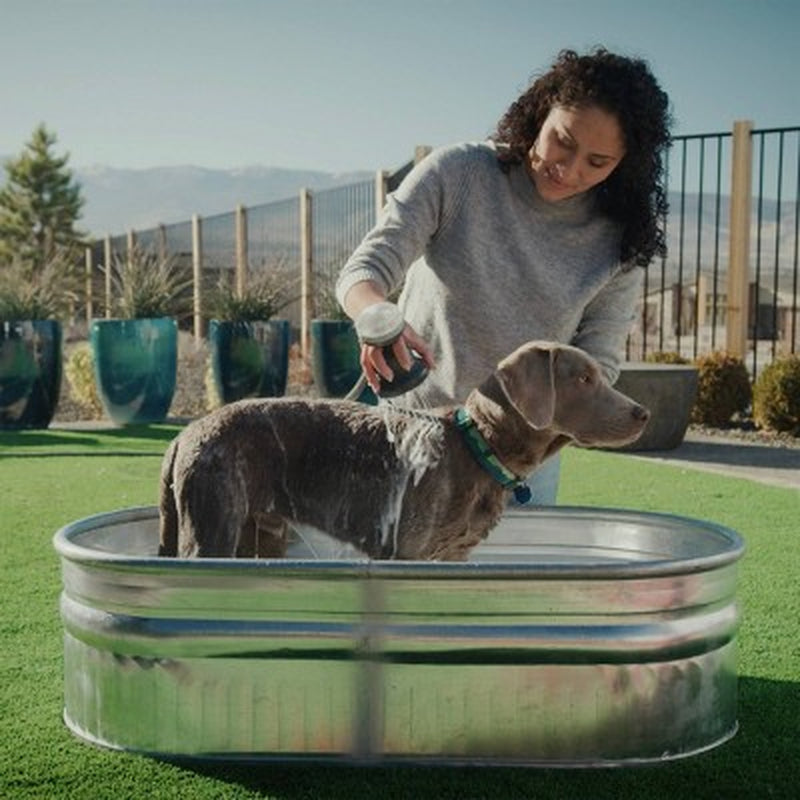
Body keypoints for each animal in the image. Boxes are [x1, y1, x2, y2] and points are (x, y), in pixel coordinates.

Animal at [158, 340, 648, 560]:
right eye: (583, 379)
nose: (642, 412)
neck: (477, 448)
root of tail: (184, 436)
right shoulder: (408, 553)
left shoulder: (454, 556)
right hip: (212, 529)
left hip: (261, 533)